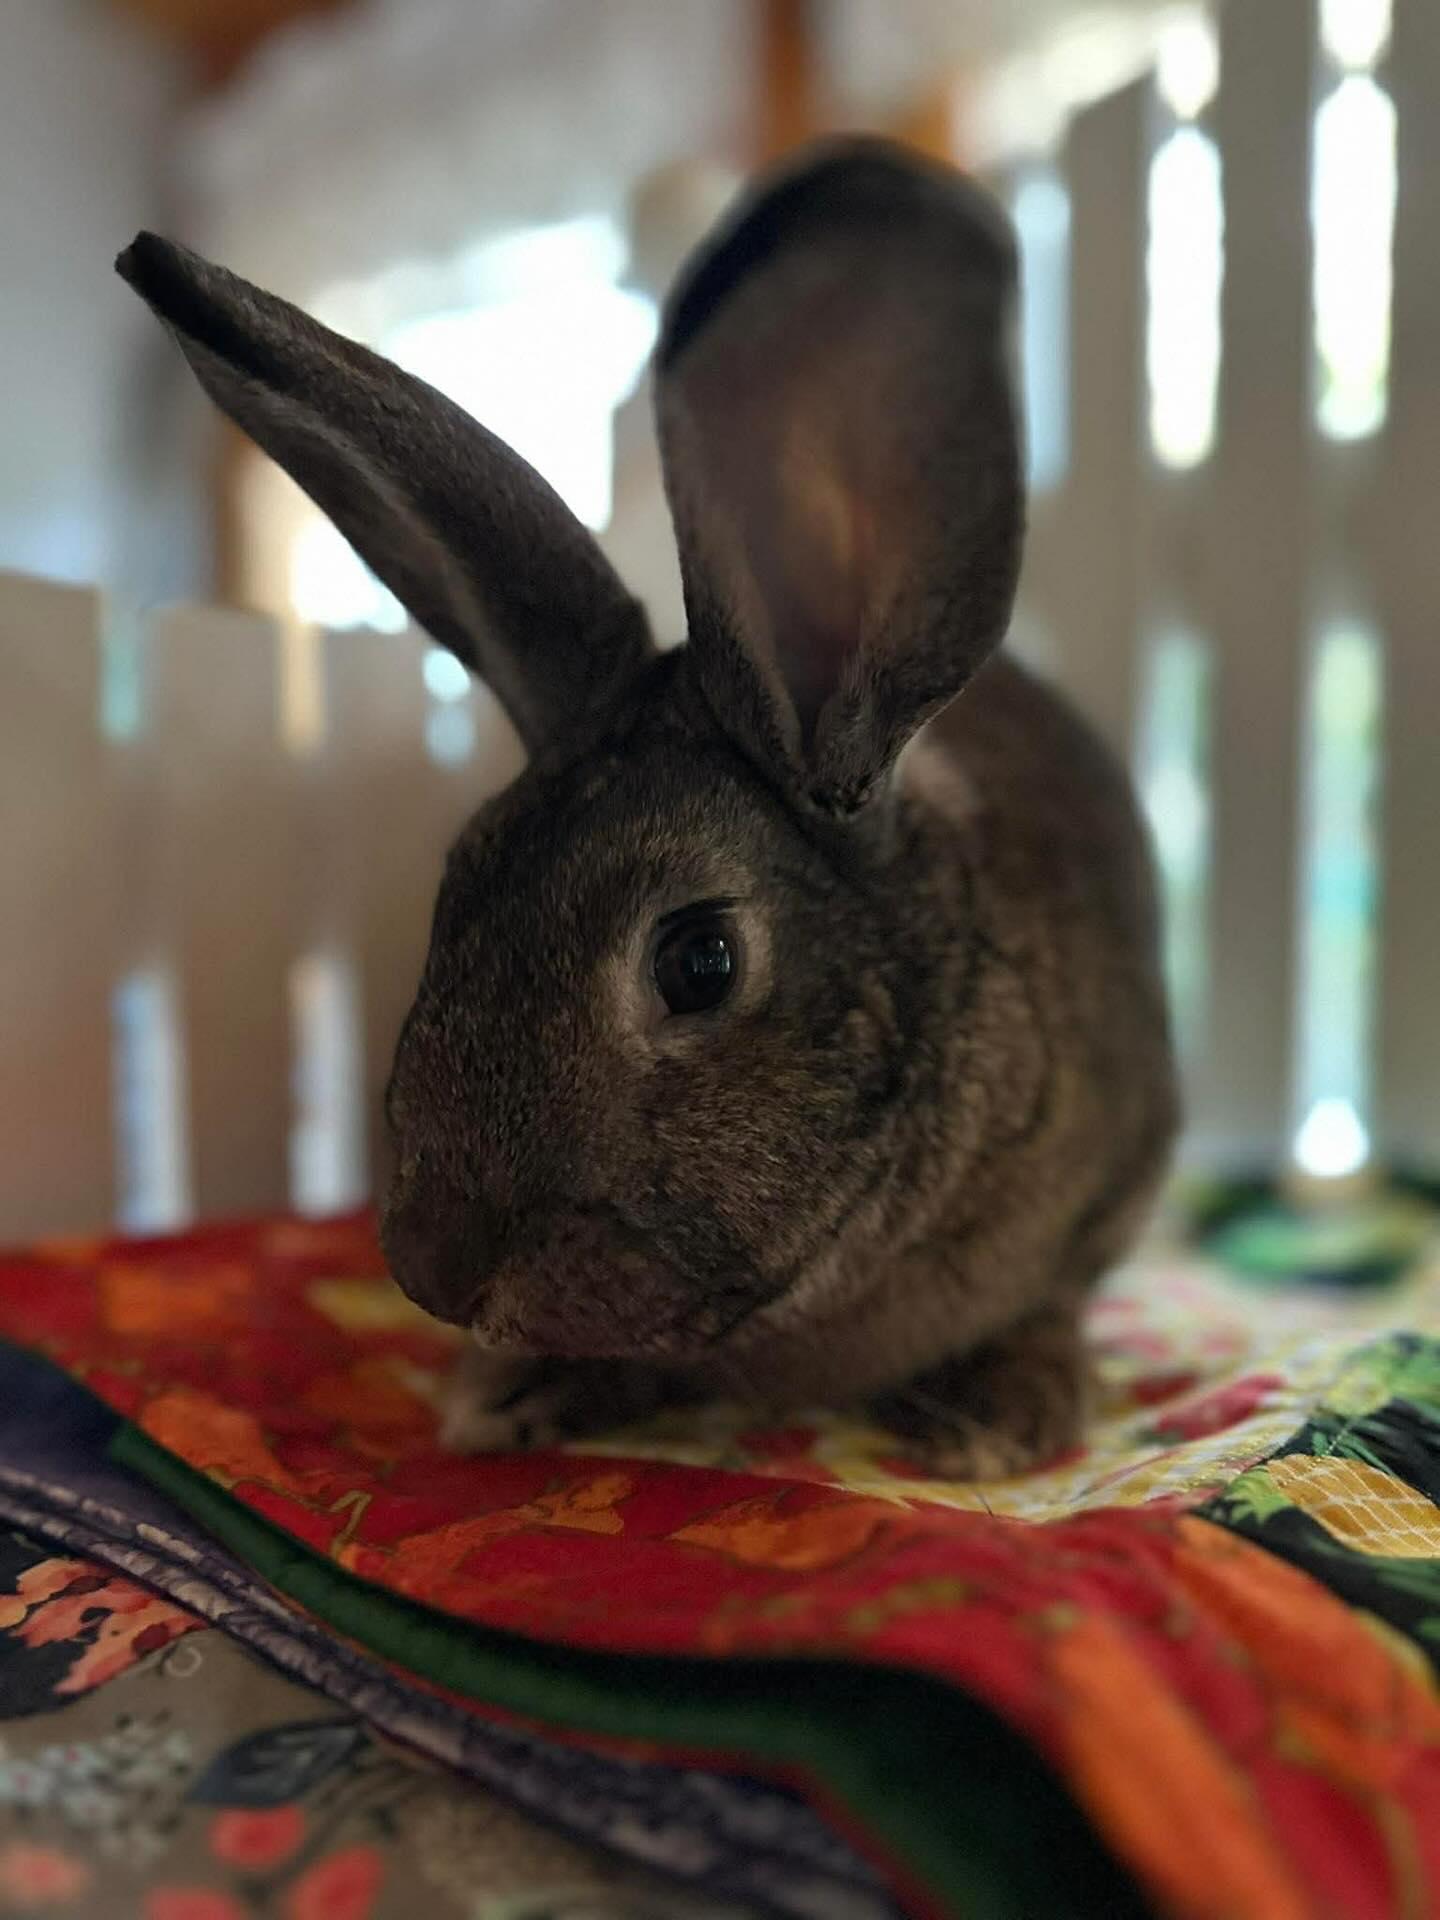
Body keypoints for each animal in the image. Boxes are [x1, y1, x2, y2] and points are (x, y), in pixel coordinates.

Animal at [117, 137, 1179, 1478]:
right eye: (454, 890)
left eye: (699, 961)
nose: (433, 1270)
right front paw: (514, 1393)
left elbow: (1057, 1299)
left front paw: (995, 1417)